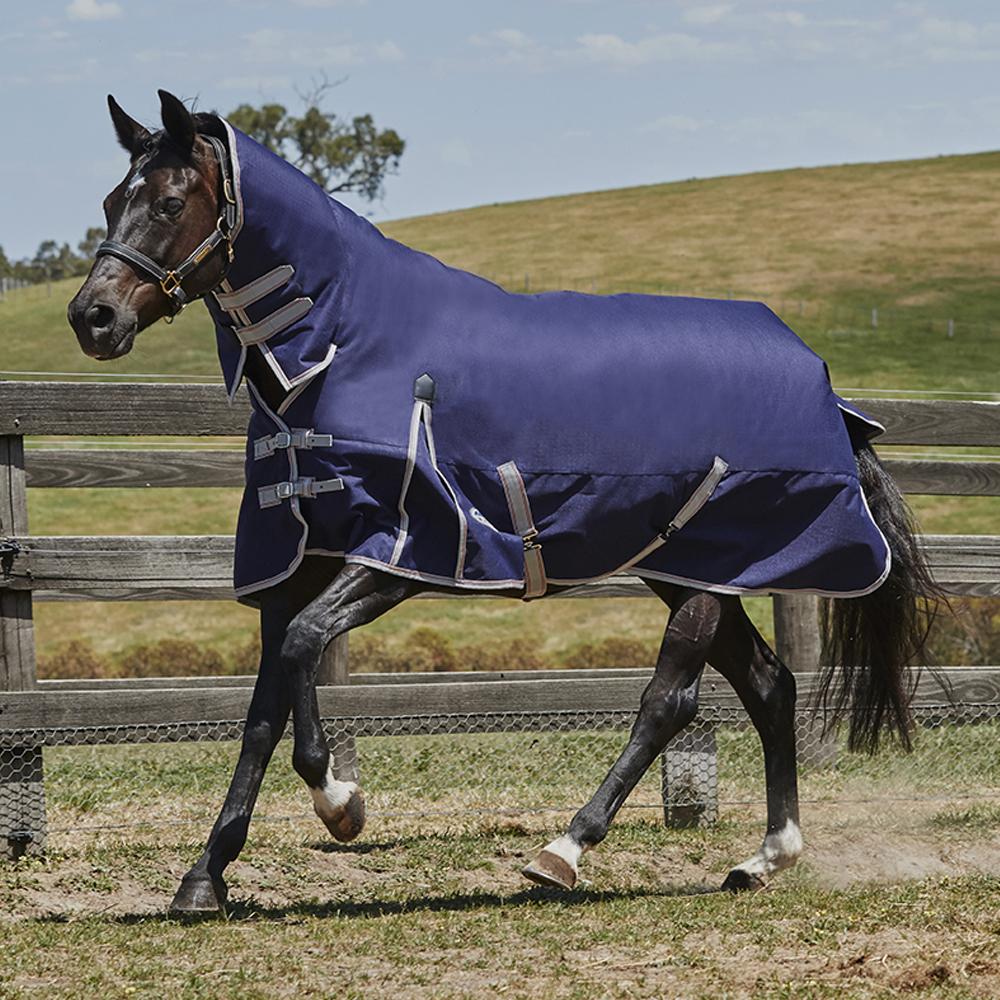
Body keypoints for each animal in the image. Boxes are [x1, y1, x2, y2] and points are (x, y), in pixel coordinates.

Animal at [67, 90, 936, 915]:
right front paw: (208, 875)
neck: (341, 347)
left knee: (672, 699)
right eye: (111, 199)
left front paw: (339, 804)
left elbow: (303, 653)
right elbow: (268, 699)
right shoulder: (300, 559)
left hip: (712, 572)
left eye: (170, 203)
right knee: (768, 684)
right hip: (693, 568)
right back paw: (764, 858)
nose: (92, 317)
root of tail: (821, 380)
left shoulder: (405, 551)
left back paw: (565, 850)